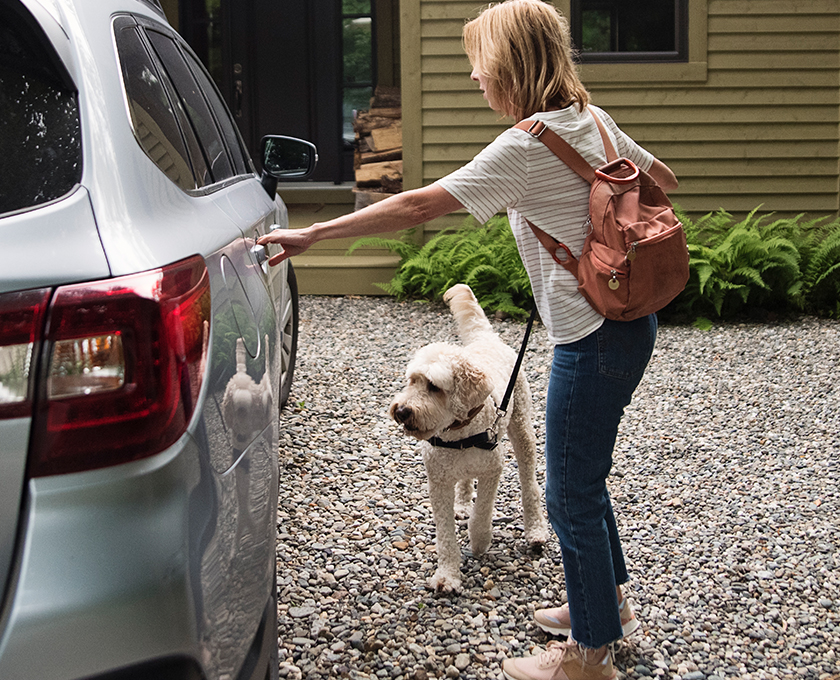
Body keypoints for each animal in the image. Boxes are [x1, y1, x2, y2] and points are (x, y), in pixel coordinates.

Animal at [388, 284, 548, 592]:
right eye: (412, 380)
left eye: (434, 387)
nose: (401, 411)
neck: (459, 434)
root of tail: (487, 338)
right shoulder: (438, 482)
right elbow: (445, 535)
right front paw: (447, 576)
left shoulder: (493, 470)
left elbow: (483, 512)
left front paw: (480, 541)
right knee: (464, 481)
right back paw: (462, 504)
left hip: (523, 432)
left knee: (530, 486)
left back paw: (536, 530)